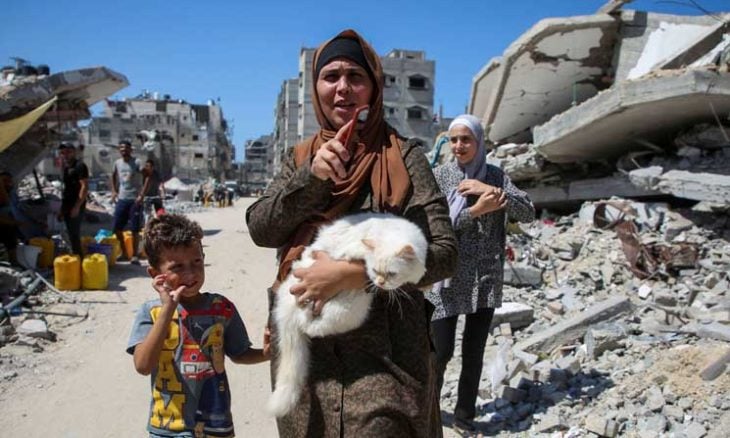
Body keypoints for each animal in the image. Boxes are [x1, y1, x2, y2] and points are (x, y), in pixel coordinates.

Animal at [268, 212, 428, 417]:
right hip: (346, 310)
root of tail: (286, 311)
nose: (380, 283)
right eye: (375, 270)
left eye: (392, 273)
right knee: (310, 326)